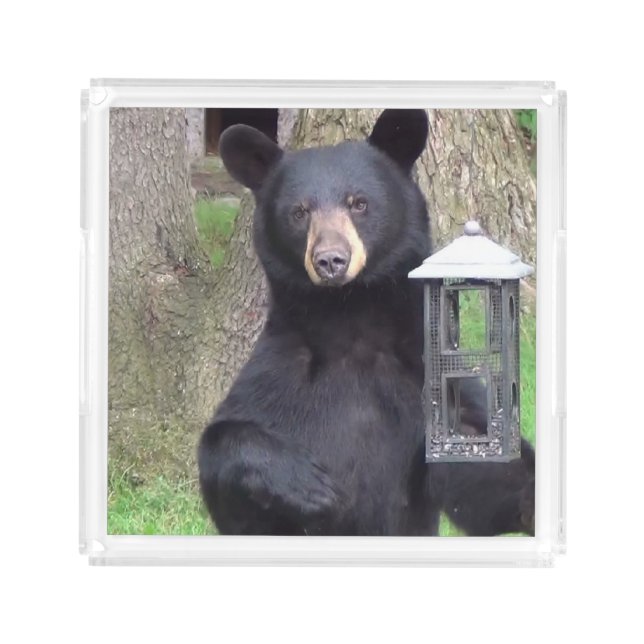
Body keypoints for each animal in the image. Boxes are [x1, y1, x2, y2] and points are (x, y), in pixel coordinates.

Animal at [198, 109, 535, 536]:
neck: (352, 316)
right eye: (299, 211)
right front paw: (311, 484)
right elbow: (225, 461)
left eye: (358, 203)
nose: (330, 260)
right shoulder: (280, 372)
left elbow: (478, 471)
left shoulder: (426, 374)